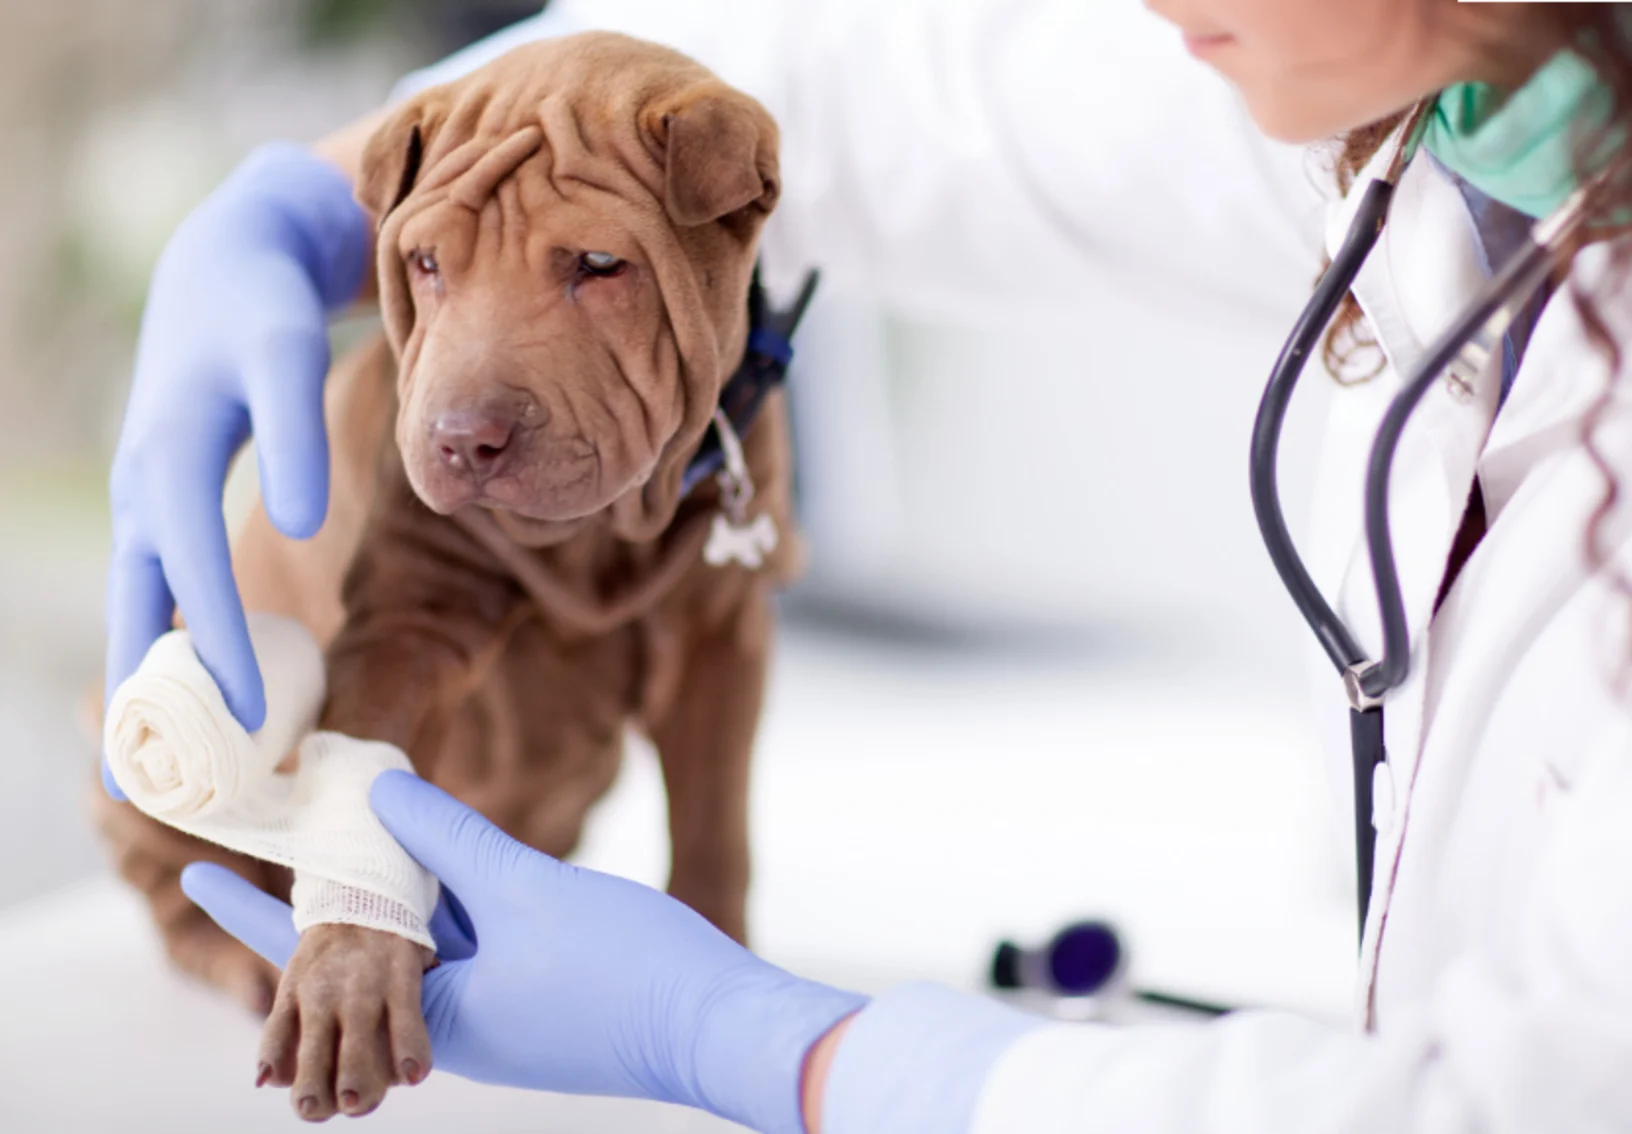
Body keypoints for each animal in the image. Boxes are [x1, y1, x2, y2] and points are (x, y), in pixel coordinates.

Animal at [92, 31, 799, 1122]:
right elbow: (369, 779)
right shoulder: (406, 622)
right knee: (177, 888)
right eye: (425, 263)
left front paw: (717, 968)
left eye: (602, 265)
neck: (599, 540)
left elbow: (716, 821)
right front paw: (346, 975)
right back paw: (241, 956)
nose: (463, 439)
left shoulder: (725, 639)